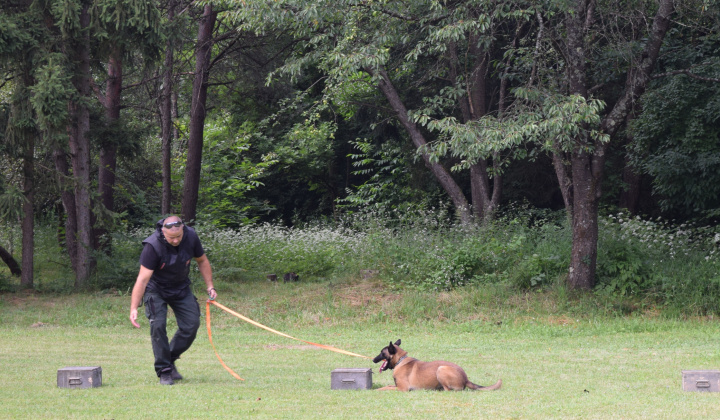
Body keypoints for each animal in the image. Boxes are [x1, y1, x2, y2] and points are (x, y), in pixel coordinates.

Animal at [372, 340, 500, 392]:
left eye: (382, 353)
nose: (373, 359)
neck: (400, 360)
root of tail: (466, 378)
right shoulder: (397, 386)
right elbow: (387, 386)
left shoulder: (402, 389)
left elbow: (386, 388)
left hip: (441, 369)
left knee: (449, 390)